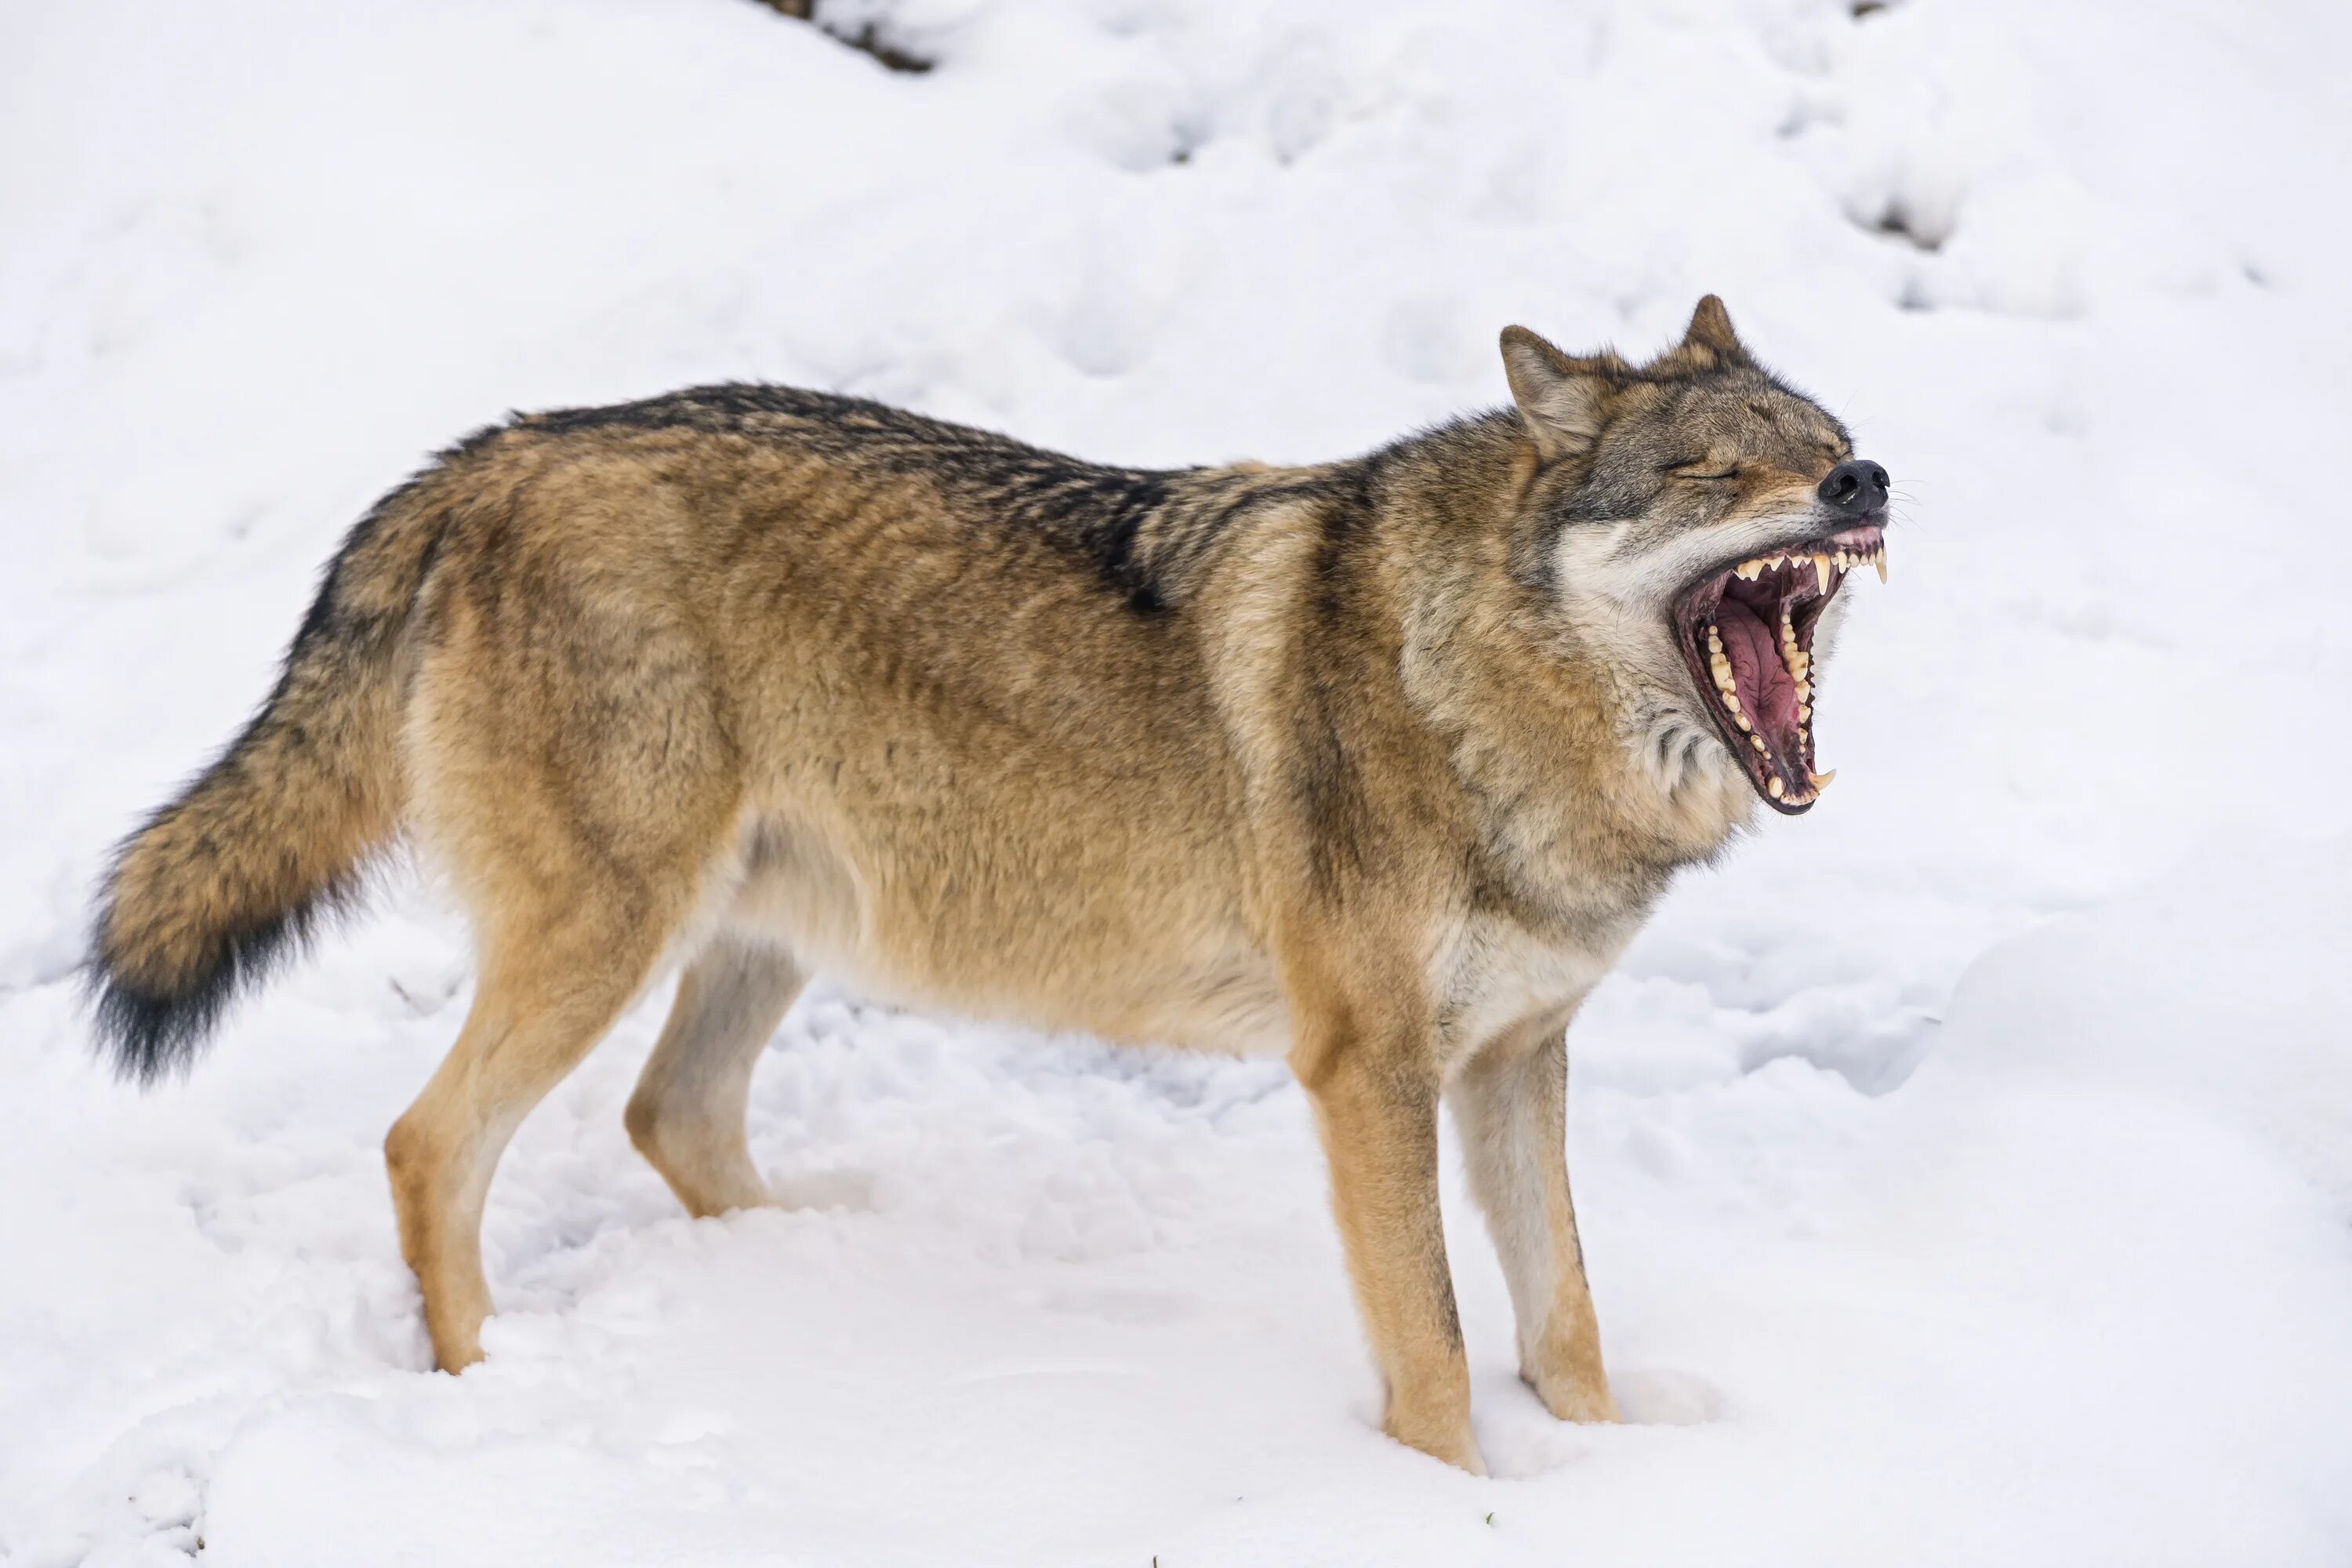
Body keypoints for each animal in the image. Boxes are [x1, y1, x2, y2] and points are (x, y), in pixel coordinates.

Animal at [87, 300, 1891, 1476]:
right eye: (1713, 475)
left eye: (1831, 445)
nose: (1867, 487)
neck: (1474, 687)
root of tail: (491, 453)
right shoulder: (1367, 1070)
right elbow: (1440, 1359)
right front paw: (1460, 1508)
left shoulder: (1517, 1058)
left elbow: (1564, 1319)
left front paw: (1621, 1474)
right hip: (611, 936)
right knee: (429, 1144)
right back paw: (488, 1392)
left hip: (766, 937)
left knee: (672, 1119)